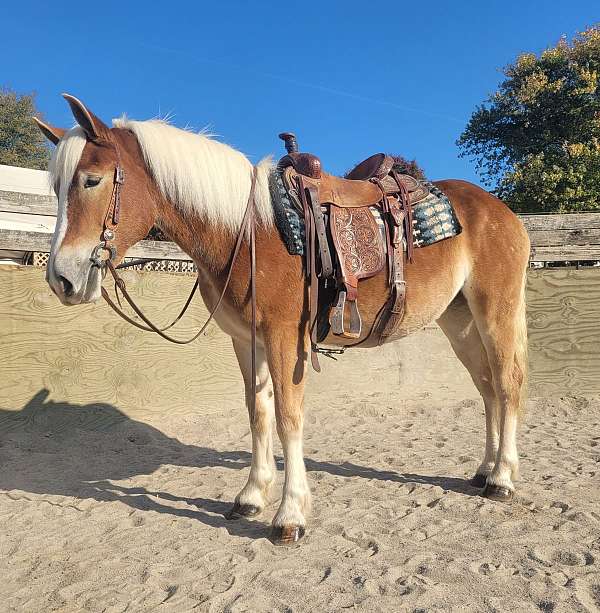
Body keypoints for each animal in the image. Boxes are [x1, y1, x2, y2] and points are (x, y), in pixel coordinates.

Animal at [35, 93, 528, 544]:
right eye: (57, 188)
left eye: (92, 180)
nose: (62, 278)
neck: (245, 231)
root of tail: (504, 212)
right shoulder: (245, 340)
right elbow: (258, 412)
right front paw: (252, 495)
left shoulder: (284, 337)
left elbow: (290, 417)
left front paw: (290, 514)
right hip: (459, 322)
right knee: (486, 388)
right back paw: (483, 470)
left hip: (495, 312)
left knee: (507, 383)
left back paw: (502, 478)